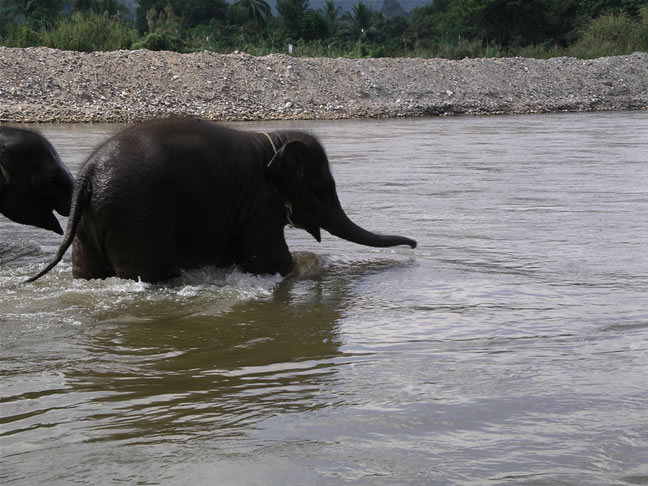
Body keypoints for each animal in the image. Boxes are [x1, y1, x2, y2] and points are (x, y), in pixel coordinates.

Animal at [27, 118, 416, 283]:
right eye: (322, 189)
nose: (413, 246)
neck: (272, 141)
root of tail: (89, 174)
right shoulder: (259, 204)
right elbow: (270, 261)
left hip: (89, 221)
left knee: (87, 273)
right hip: (136, 218)